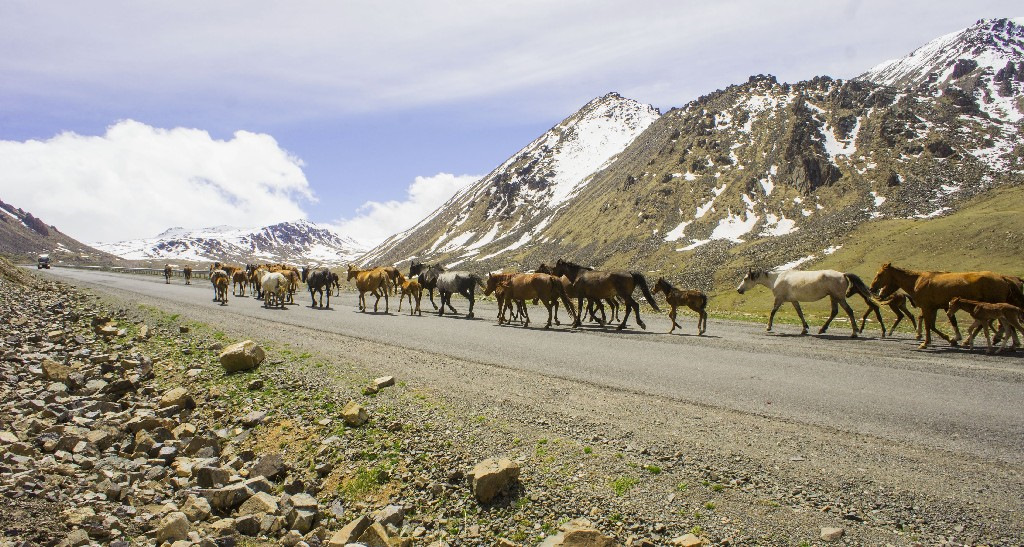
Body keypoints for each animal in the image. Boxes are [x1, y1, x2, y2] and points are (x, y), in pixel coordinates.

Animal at [868, 264, 1024, 350]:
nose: (872, 289)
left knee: (1003, 324)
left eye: (880, 274)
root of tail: (1003, 278)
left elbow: (928, 325)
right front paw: (951, 339)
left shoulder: (927, 307)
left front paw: (925, 343)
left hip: (995, 306)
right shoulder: (934, 307)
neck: (918, 281)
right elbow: (932, 325)